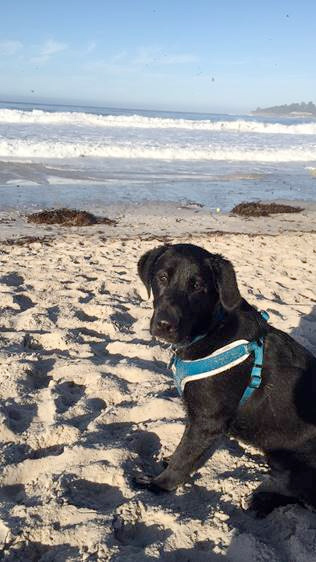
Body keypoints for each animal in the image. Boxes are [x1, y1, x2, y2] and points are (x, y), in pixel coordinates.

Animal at [135, 243, 316, 516]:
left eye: (197, 286)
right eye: (162, 277)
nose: (164, 325)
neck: (211, 328)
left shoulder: (207, 420)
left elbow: (184, 457)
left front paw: (158, 485)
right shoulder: (197, 416)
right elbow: (184, 448)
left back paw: (262, 500)